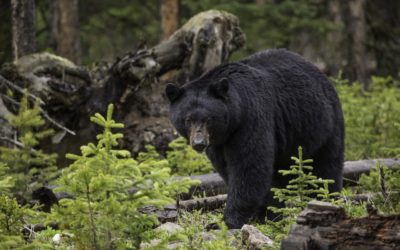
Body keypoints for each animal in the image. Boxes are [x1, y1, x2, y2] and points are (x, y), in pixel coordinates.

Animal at [165, 48, 344, 229]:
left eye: (208, 119)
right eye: (188, 119)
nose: (199, 143)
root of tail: (322, 75)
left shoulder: (251, 118)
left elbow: (249, 166)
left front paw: (226, 221)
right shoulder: (219, 142)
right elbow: (227, 167)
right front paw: (262, 213)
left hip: (323, 124)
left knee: (326, 167)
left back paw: (326, 199)